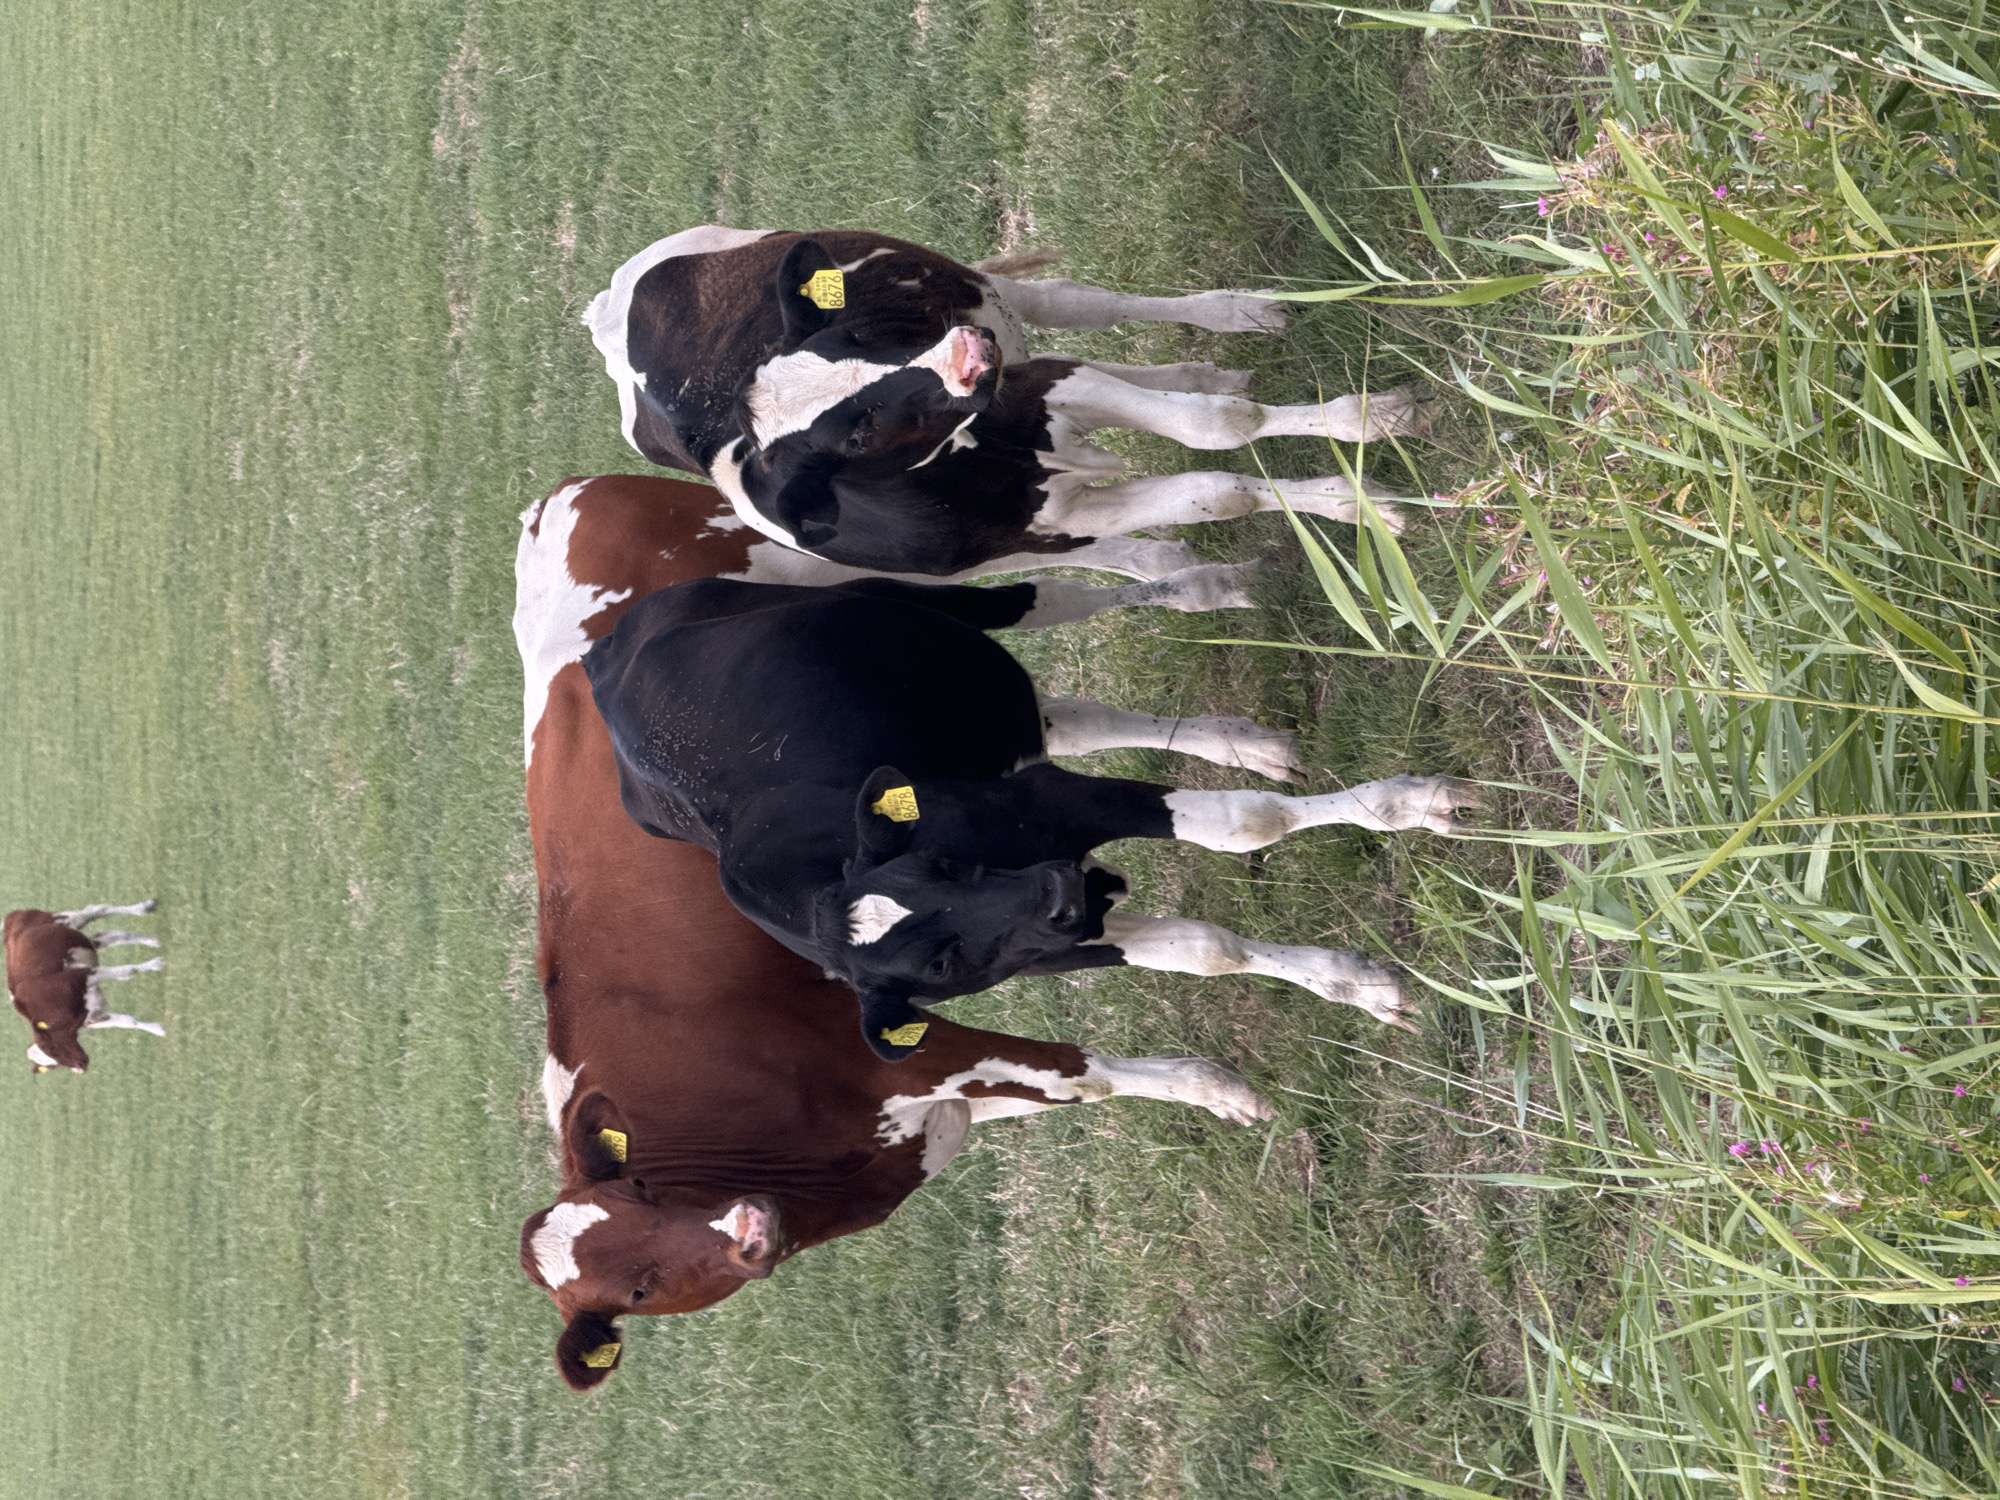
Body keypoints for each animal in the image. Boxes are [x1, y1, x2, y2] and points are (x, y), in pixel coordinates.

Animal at [6, 903, 165, 1074]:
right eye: (50, 1067)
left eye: (51, 1050)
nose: (80, 1068)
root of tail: (11, 916)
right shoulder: (93, 1018)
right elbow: (129, 1021)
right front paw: (158, 1029)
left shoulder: (83, 976)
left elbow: (129, 971)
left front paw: (156, 964)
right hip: (81, 937)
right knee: (110, 935)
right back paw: (152, 940)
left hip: (68, 920)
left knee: (98, 910)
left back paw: (144, 908)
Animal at [515, 474, 1297, 1390]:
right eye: (639, 1290)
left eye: (643, 1197)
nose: (747, 1232)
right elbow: (1156, 980)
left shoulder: (923, 1049)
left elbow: (1086, 1066)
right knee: (1062, 711)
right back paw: (1239, 733)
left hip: (861, 578)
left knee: (1048, 586)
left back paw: (1220, 577)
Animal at [584, 227, 1426, 578]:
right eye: (852, 435)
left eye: (853, 332)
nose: (963, 356)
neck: (962, 464)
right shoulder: (1056, 520)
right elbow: (1216, 490)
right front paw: (1359, 504)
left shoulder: (1044, 384)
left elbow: (1214, 428)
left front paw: (1366, 429)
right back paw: (1206, 370)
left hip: (998, 299)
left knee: (1080, 303)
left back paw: (1239, 316)